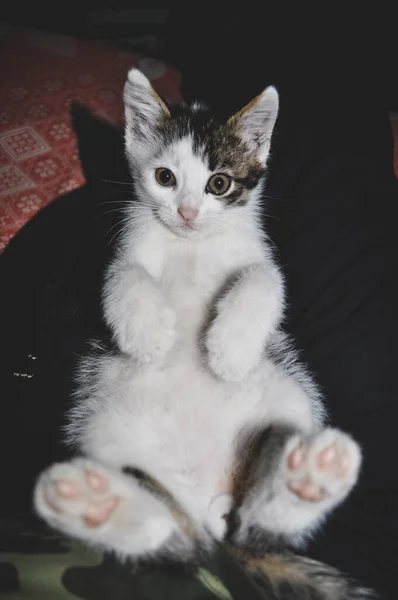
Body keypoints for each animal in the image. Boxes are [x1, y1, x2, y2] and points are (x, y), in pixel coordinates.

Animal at [33, 69, 374, 596]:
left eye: (219, 183)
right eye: (165, 177)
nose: (189, 212)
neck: (190, 245)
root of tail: (208, 505)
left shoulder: (256, 253)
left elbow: (264, 281)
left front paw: (229, 350)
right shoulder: (131, 244)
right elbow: (121, 276)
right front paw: (147, 332)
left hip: (292, 400)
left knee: (254, 529)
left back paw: (310, 478)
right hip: (101, 434)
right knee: (180, 541)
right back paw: (94, 505)